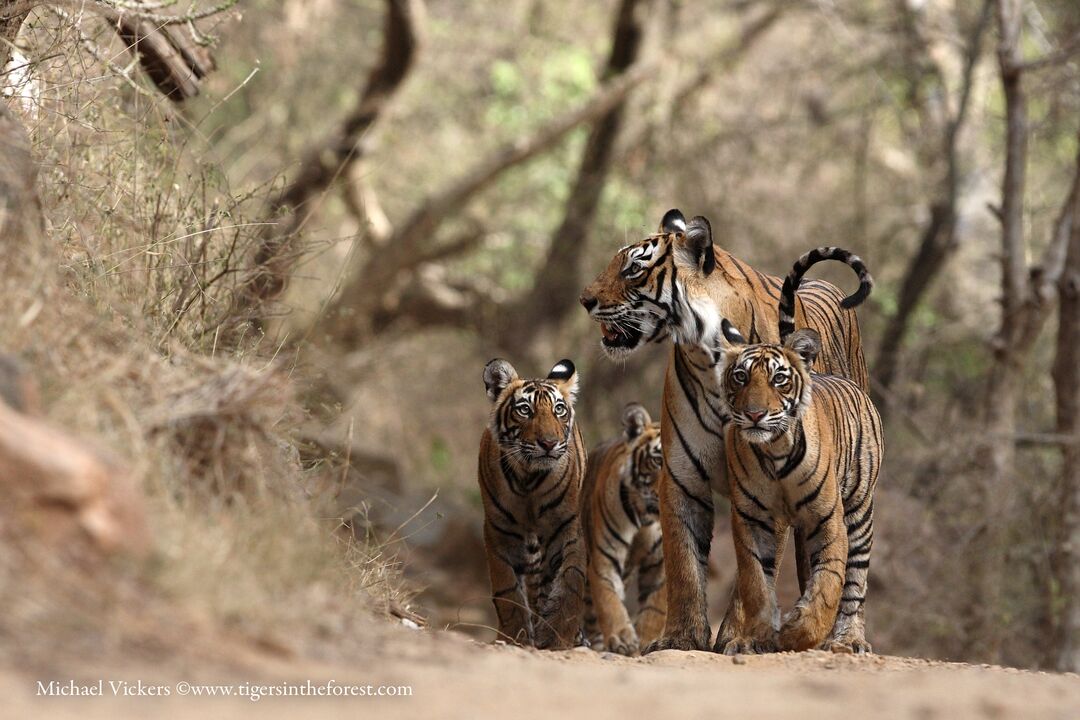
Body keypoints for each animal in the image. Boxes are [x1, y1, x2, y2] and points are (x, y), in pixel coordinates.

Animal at [478, 357, 587, 650]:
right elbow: (508, 593)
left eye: (559, 410)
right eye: (525, 410)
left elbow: (570, 583)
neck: (529, 480)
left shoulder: (568, 530)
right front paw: (515, 637)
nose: (549, 443)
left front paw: (556, 637)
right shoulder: (499, 534)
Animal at [580, 402, 666, 655]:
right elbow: (610, 601)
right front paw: (622, 639)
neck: (647, 519)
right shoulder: (604, 558)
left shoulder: (660, 565)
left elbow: (654, 610)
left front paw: (646, 641)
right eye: (657, 460)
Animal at [708, 316, 882, 654]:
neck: (775, 450)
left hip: (859, 511)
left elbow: (828, 584)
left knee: (855, 582)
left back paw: (849, 639)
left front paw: (797, 633)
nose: (754, 414)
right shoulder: (753, 519)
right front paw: (758, 637)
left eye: (778, 379)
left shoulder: (828, 519)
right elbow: (757, 583)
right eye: (740, 377)